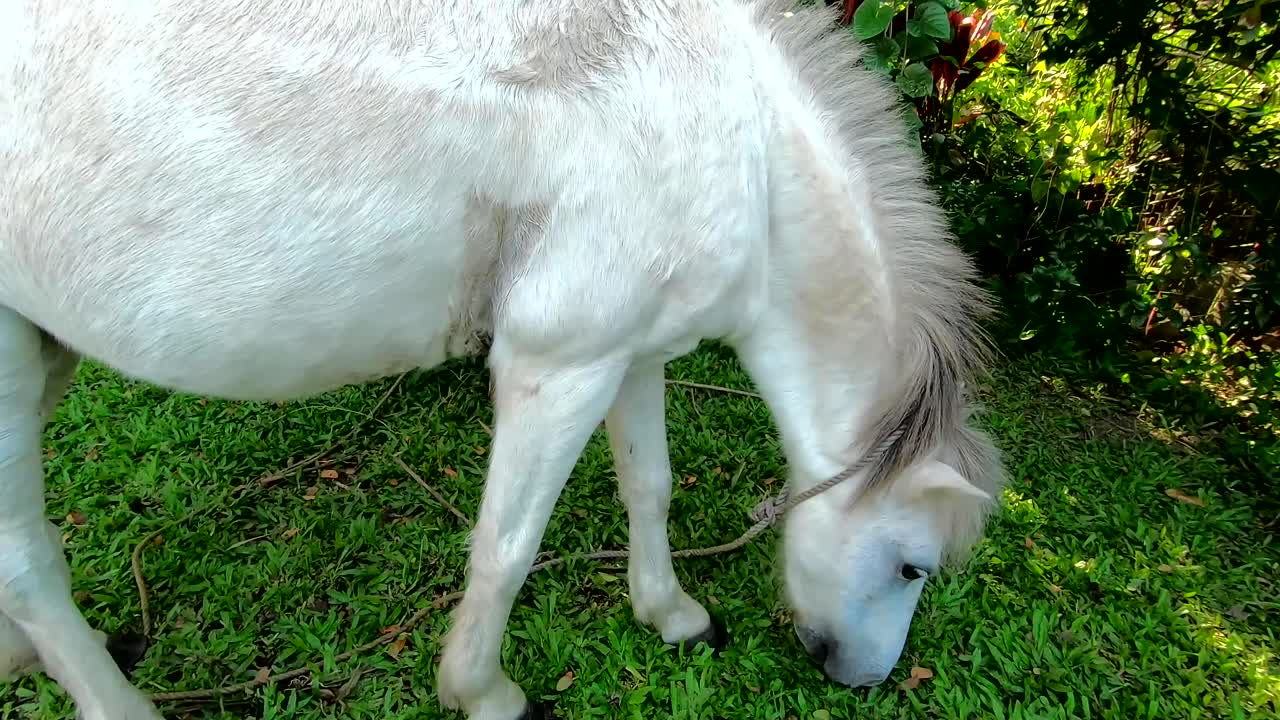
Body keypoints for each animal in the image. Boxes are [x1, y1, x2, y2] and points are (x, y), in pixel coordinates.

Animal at [0, 1, 1007, 718]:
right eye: (914, 569)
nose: (863, 679)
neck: (738, 142)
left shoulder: (629, 352)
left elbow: (650, 486)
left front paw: (670, 612)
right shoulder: (557, 367)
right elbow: (508, 545)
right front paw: (481, 691)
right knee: (30, 568)